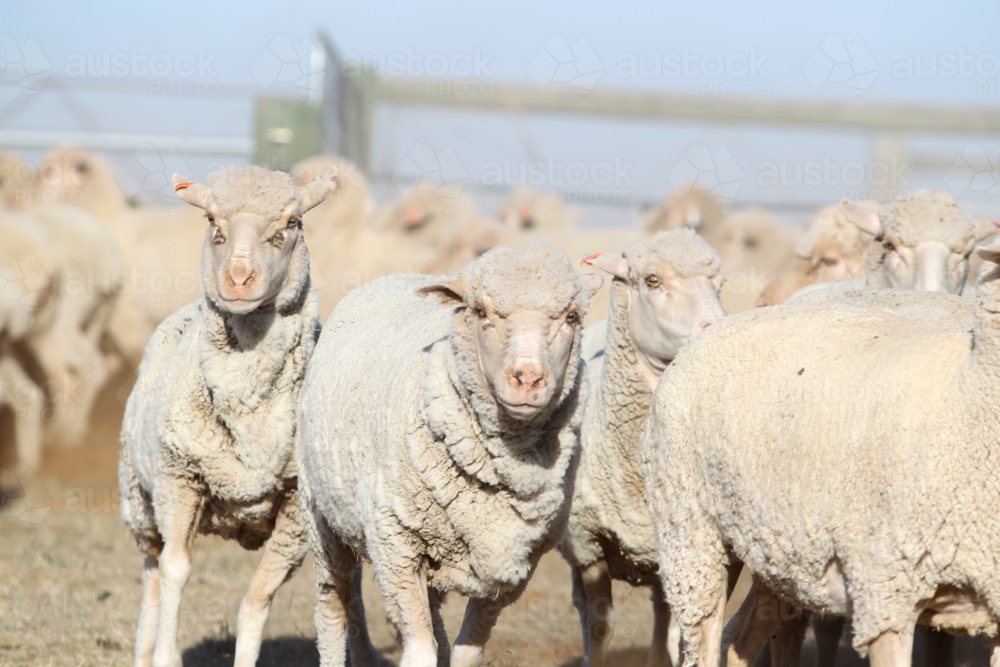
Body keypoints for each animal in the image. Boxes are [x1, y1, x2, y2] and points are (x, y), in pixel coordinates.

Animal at [117, 163, 334, 667]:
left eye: (293, 223)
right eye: (212, 221)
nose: (237, 277)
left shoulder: (297, 513)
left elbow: (257, 599)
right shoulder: (179, 480)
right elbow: (176, 573)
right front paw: (166, 655)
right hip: (141, 500)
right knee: (152, 576)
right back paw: (144, 648)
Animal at [298, 241, 600, 667]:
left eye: (571, 316)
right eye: (481, 311)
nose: (527, 379)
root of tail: (398, 275)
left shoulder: (516, 566)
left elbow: (466, 651)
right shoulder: (396, 546)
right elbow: (421, 650)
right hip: (320, 517)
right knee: (332, 605)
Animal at [560, 231, 724, 667]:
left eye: (719, 284)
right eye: (652, 280)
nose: (715, 330)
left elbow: (678, 632)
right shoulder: (587, 541)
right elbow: (600, 625)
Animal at [632, 237, 1000, 664]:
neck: (965, 387)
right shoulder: (885, 591)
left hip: (777, 551)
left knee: (741, 637)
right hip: (690, 533)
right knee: (703, 638)